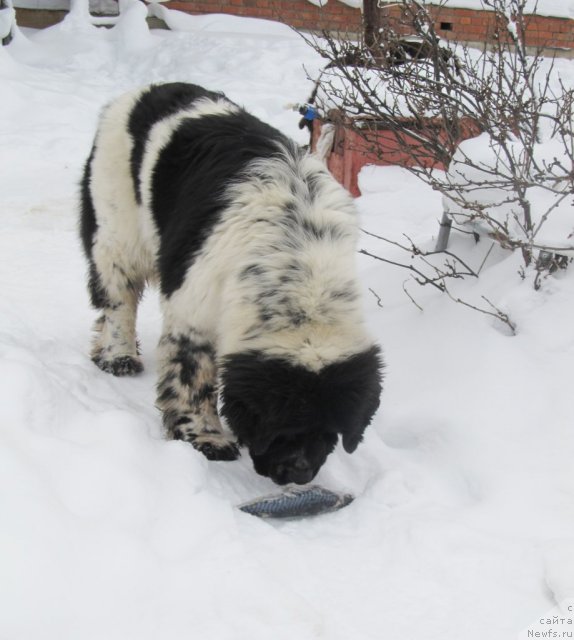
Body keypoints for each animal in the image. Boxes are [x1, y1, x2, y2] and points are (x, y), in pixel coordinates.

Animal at [77, 84, 382, 484]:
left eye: (330, 429)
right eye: (283, 422)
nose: (298, 473)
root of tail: (146, 91)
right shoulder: (195, 309)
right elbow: (193, 379)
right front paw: (207, 438)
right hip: (117, 227)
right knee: (117, 299)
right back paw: (119, 355)